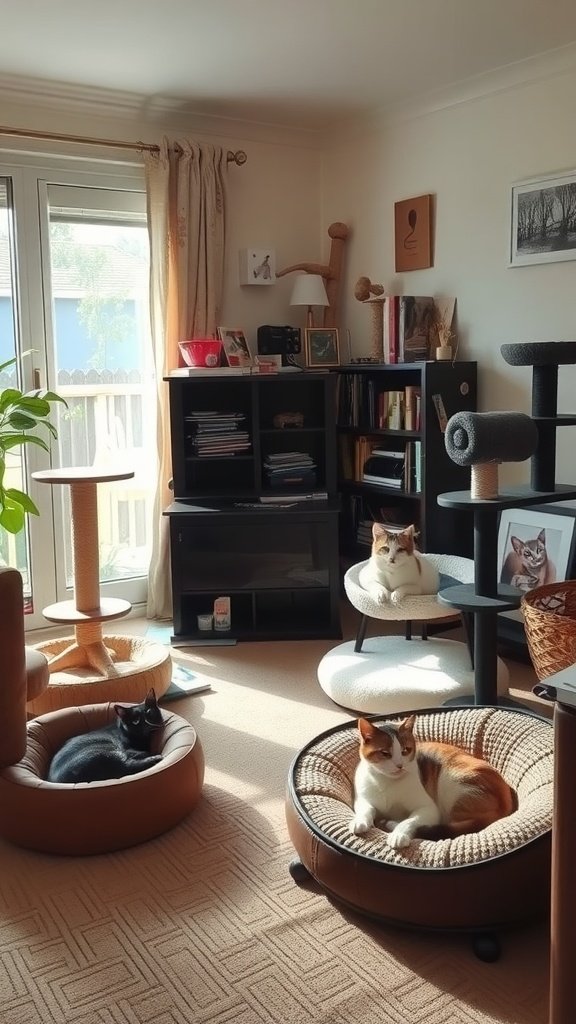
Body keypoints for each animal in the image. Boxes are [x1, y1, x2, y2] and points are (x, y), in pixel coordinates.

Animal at [348, 712, 512, 847]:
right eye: (385, 753)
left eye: (405, 750)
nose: (400, 765)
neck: (386, 782)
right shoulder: (362, 800)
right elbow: (366, 810)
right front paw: (359, 821)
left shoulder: (429, 809)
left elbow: (409, 821)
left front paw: (398, 835)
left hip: (452, 786)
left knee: (449, 828)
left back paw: (391, 825)